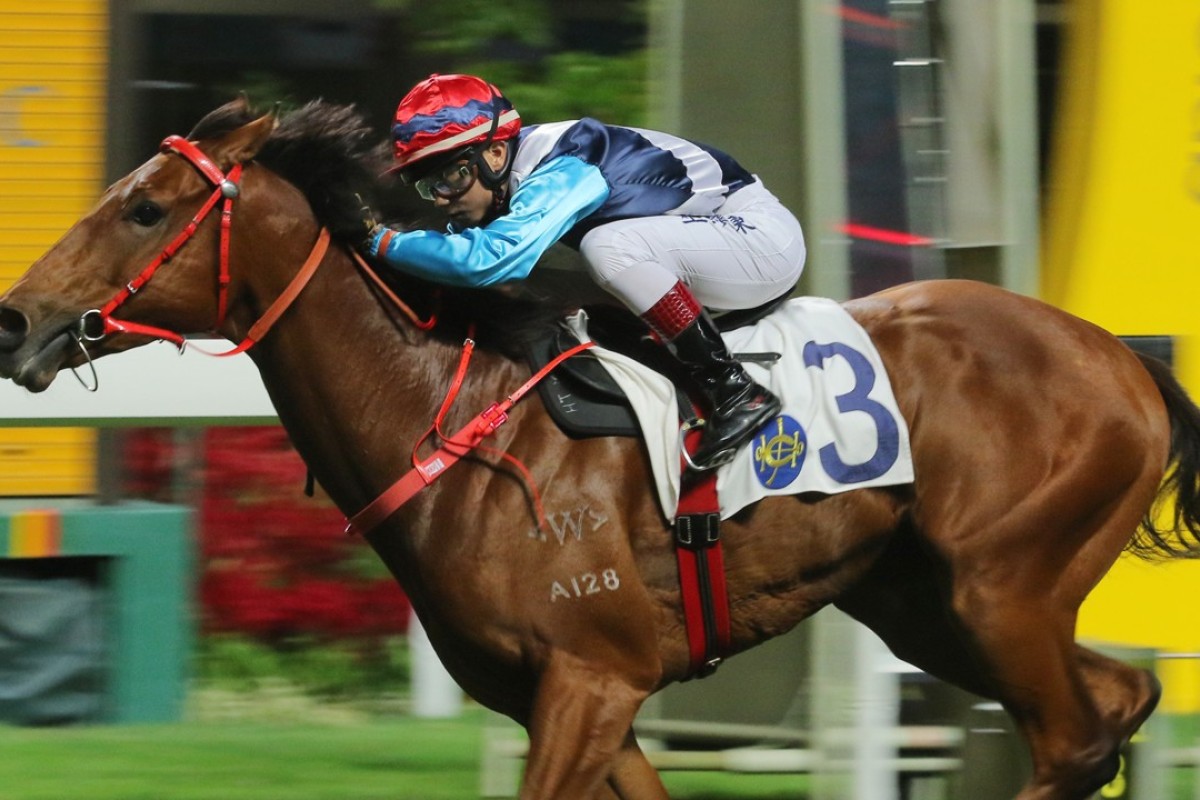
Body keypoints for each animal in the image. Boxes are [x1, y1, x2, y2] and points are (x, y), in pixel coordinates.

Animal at [2, 101, 1200, 800]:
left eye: (146, 208)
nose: (16, 321)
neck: (451, 418)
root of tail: (1117, 352)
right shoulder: (584, 699)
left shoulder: (590, 678)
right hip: (931, 605)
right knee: (1117, 702)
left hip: (1001, 586)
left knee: (1073, 739)